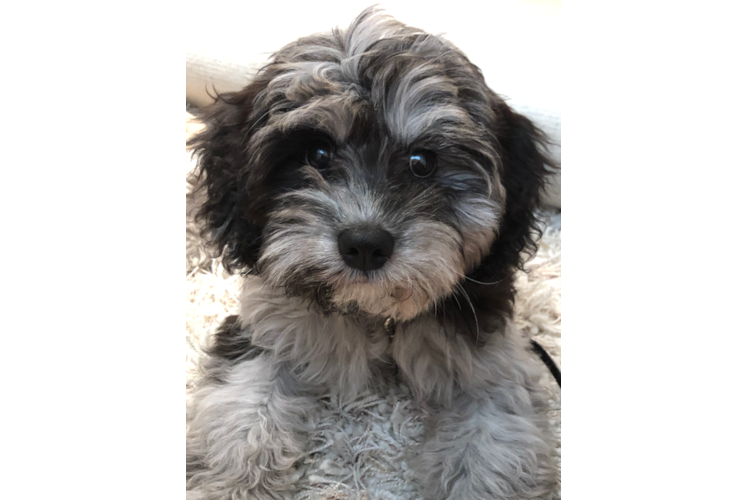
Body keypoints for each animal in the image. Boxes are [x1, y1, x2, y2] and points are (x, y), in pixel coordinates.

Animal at [187, 8, 560, 500]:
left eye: (422, 163)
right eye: (318, 154)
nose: (364, 244)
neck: (372, 312)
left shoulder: (491, 360)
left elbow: (491, 447)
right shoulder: (266, 329)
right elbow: (241, 420)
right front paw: (230, 484)